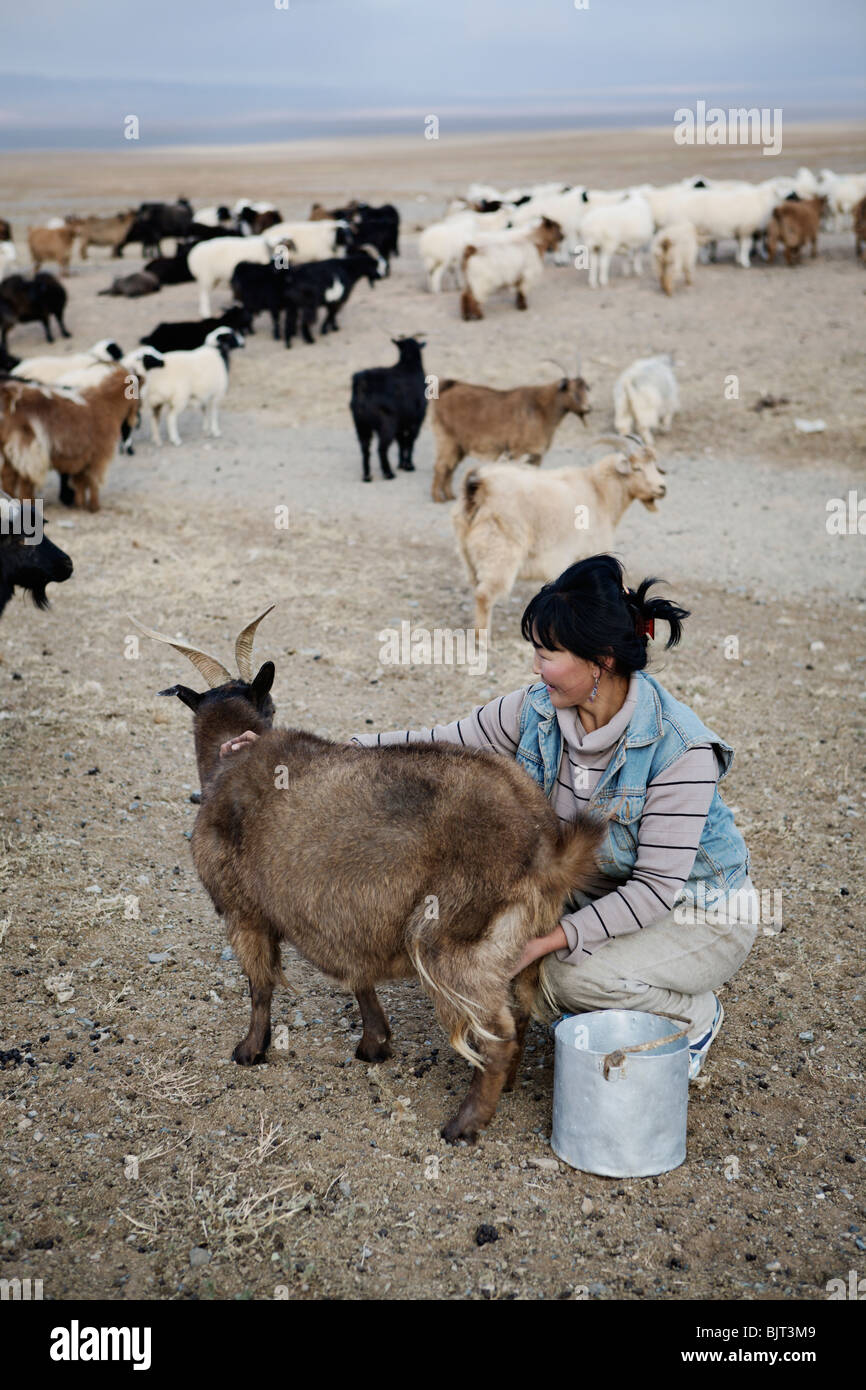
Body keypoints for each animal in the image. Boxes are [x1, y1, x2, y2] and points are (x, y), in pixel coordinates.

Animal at [136, 614, 603, 1145]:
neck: (227, 764)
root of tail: (543, 841)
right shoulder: (347, 923)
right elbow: (358, 977)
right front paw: (374, 1044)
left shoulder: (243, 913)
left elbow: (260, 986)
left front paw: (249, 1051)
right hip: (523, 950)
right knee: (520, 1014)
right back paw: (499, 1089)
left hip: (450, 944)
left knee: (496, 1032)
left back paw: (463, 1125)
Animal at [350, 336, 428, 483]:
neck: (409, 366)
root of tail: (363, 384)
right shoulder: (417, 420)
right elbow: (410, 441)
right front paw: (409, 466)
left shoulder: (401, 423)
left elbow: (401, 442)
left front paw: (401, 464)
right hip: (387, 423)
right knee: (382, 448)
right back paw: (388, 473)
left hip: (361, 424)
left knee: (365, 448)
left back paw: (367, 476)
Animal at [430, 372, 592, 503]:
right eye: (573, 392)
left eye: (586, 389)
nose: (588, 408)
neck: (542, 409)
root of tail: (448, 386)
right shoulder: (518, 451)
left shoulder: (535, 454)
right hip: (447, 438)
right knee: (441, 466)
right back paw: (438, 498)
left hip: (458, 445)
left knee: (450, 466)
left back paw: (450, 496)